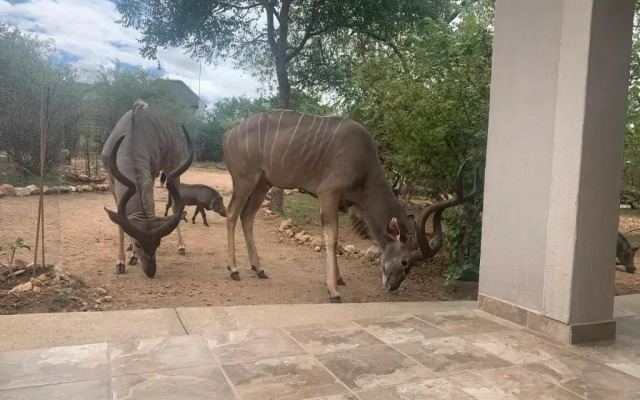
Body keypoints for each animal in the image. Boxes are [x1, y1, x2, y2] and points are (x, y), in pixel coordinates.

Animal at [102, 100, 194, 277]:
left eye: (158, 243)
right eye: (139, 244)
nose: (151, 271)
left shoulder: (152, 172)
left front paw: (131, 258)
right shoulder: (111, 178)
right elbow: (119, 219)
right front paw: (121, 262)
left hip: (173, 168)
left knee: (175, 204)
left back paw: (181, 246)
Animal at [223, 110, 477, 302]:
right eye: (405, 261)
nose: (392, 286)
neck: (364, 165)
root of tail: (229, 134)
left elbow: (336, 241)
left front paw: (339, 279)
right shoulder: (328, 193)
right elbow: (331, 237)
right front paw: (333, 291)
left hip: (262, 183)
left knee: (247, 217)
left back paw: (259, 269)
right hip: (245, 180)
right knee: (232, 213)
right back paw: (234, 270)